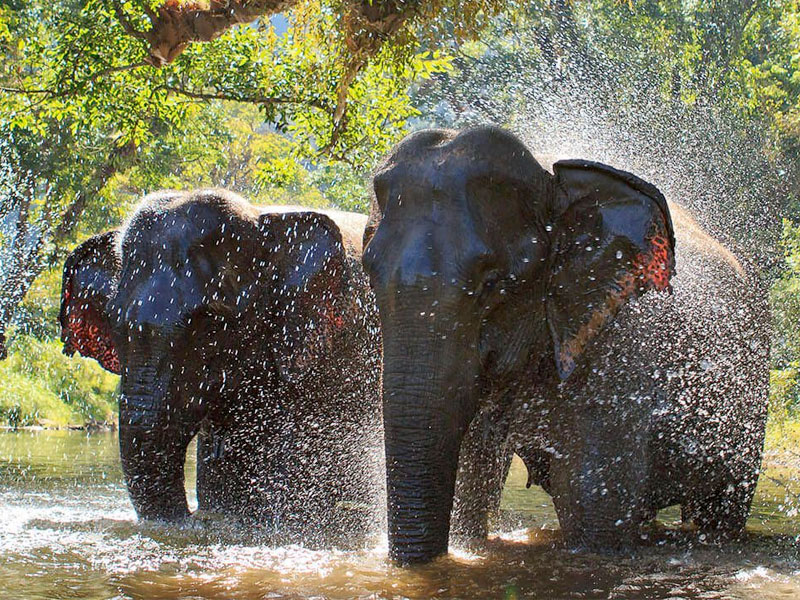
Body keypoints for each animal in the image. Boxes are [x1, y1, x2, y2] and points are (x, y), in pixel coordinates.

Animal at [362, 125, 768, 564]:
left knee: (724, 508)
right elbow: (473, 477)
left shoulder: (615, 360)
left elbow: (591, 510)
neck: (553, 183)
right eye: (369, 272)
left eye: (493, 284)